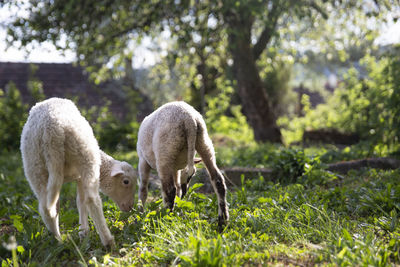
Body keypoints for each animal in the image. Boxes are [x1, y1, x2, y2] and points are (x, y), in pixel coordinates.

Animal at [20, 98, 138, 247]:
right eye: (126, 182)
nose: (130, 207)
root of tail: (50, 130)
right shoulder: (81, 177)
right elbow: (81, 202)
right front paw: (84, 233)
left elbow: (77, 202)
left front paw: (82, 233)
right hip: (84, 155)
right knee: (92, 200)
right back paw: (108, 241)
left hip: (34, 165)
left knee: (46, 208)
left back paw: (59, 241)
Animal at [136, 101, 228, 229]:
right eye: (191, 176)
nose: (185, 192)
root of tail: (189, 119)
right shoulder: (175, 168)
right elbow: (179, 187)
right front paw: (179, 205)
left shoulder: (143, 160)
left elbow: (143, 189)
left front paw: (139, 213)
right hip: (203, 142)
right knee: (218, 180)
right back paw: (222, 222)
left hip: (165, 152)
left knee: (169, 190)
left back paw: (166, 218)